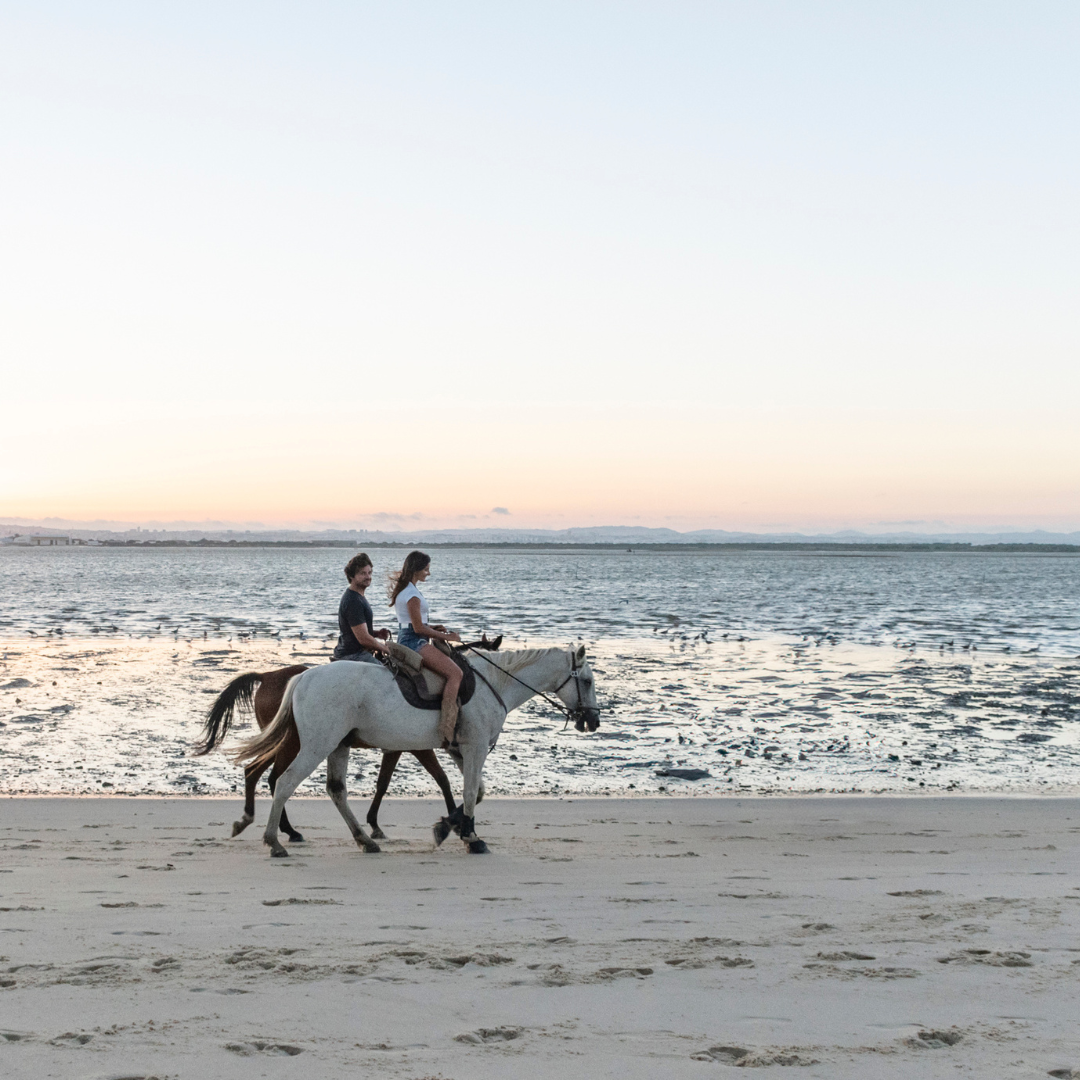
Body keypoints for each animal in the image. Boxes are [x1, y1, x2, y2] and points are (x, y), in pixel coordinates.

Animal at [194, 665, 455, 842]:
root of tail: (266, 675)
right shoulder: (416, 747)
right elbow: (441, 779)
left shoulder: (398, 748)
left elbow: (383, 783)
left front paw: (373, 824)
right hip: (294, 743)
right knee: (276, 778)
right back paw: (284, 830)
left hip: (284, 742)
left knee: (255, 771)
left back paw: (258, 822)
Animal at [230, 643, 600, 855]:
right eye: (587, 681)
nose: (594, 721)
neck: (495, 683)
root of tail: (303, 678)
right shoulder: (475, 748)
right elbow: (469, 792)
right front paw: (470, 837)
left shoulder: (460, 750)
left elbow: (475, 791)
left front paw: (449, 826)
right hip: (316, 744)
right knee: (284, 782)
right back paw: (275, 840)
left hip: (338, 745)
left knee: (335, 790)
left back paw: (364, 840)